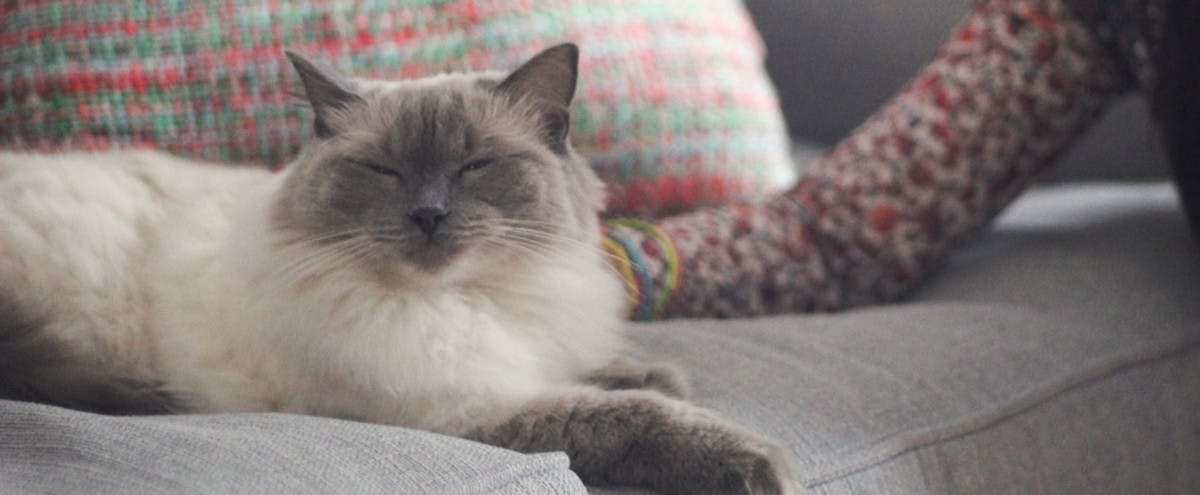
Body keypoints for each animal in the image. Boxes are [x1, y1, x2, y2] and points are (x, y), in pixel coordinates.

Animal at [0, 44, 796, 492]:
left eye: (475, 167)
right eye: (384, 171)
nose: (429, 215)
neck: (476, 297)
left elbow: (615, 376)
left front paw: (649, 373)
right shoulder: (461, 408)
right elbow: (620, 413)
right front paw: (758, 463)